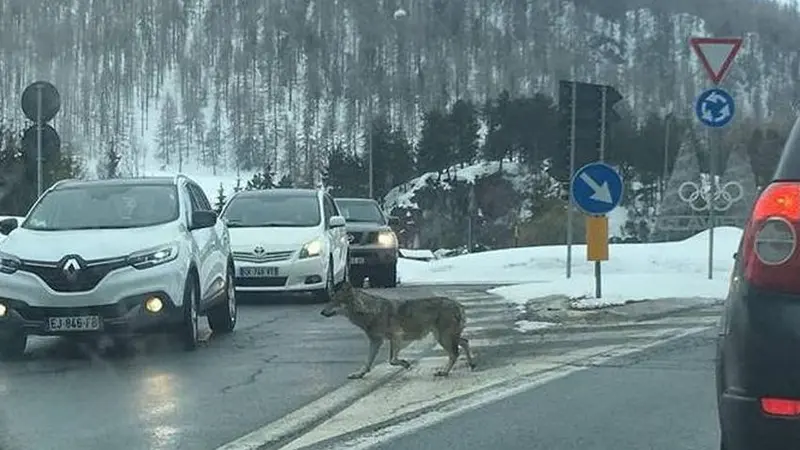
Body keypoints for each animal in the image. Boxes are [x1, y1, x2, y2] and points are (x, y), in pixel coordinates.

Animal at [320, 282, 476, 379]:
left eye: (334, 301)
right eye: (330, 300)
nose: (321, 312)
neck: (370, 312)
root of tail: (458, 304)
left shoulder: (396, 337)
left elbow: (392, 360)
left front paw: (406, 364)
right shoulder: (376, 341)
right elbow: (368, 362)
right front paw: (359, 374)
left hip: (443, 337)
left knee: (455, 353)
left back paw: (443, 372)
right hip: (446, 336)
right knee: (465, 342)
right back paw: (471, 364)